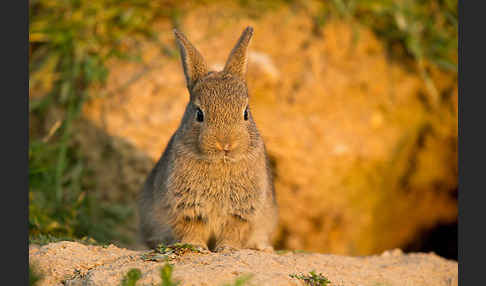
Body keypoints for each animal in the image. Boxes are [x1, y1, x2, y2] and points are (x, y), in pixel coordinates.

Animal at [139, 25, 280, 251]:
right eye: (199, 114)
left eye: (246, 113)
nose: (225, 144)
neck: (221, 162)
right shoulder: (186, 207)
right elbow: (192, 228)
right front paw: (195, 246)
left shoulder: (242, 212)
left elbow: (233, 231)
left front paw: (227, 248)